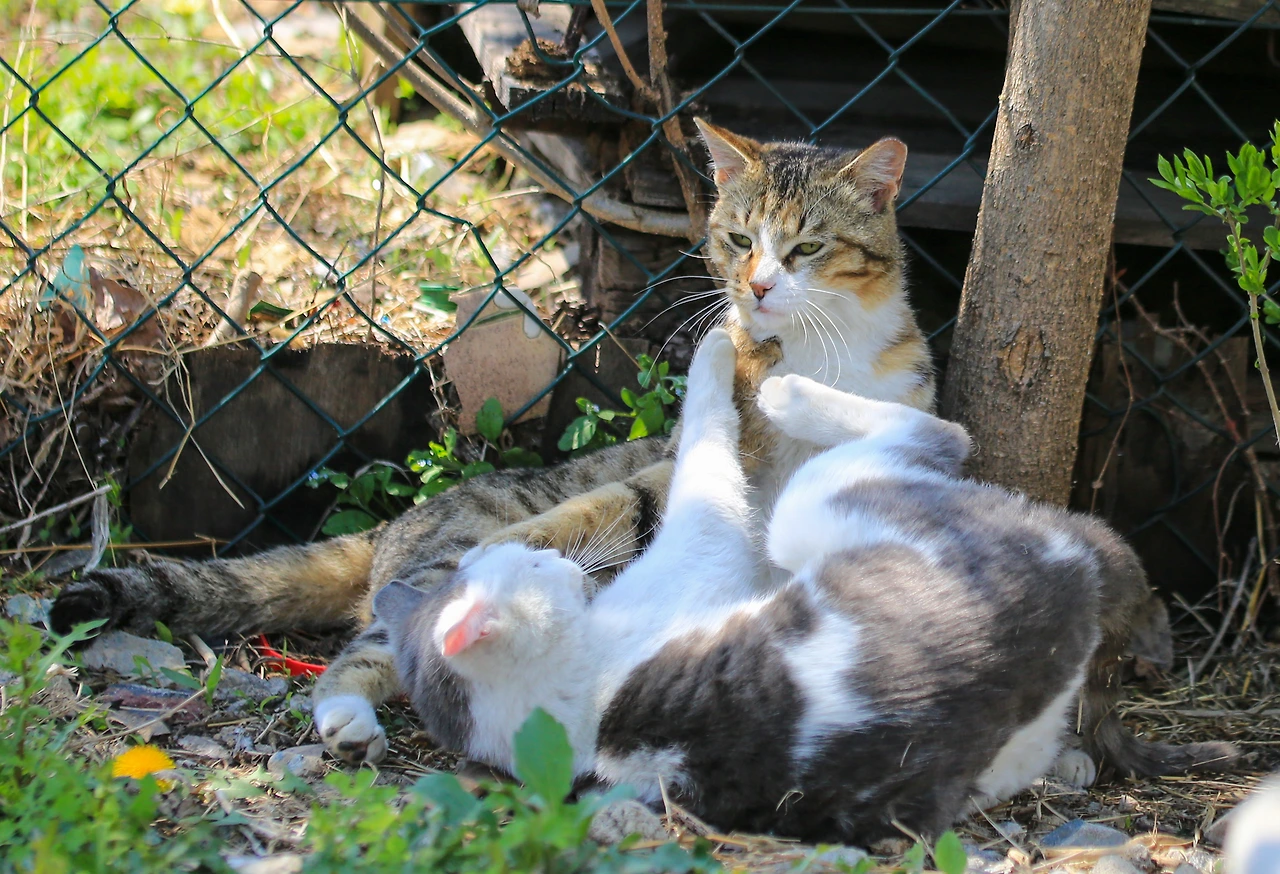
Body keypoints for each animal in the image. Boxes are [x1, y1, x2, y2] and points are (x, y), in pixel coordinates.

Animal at [51, 119, 937, 766]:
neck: (820, 349)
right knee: (375, 640)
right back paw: (348, 713)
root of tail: (400, 525)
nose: (755, 288)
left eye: (807, 247)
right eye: (737, 239)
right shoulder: (702, 459)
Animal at [377, 329, 1238, 843]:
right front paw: (717, 355)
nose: (560, 566)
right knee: (939, 435)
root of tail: (1070, 573)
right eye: (529, 571)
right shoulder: (714, 528)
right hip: (815, 505)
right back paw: (784, 392)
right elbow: (706, 438)